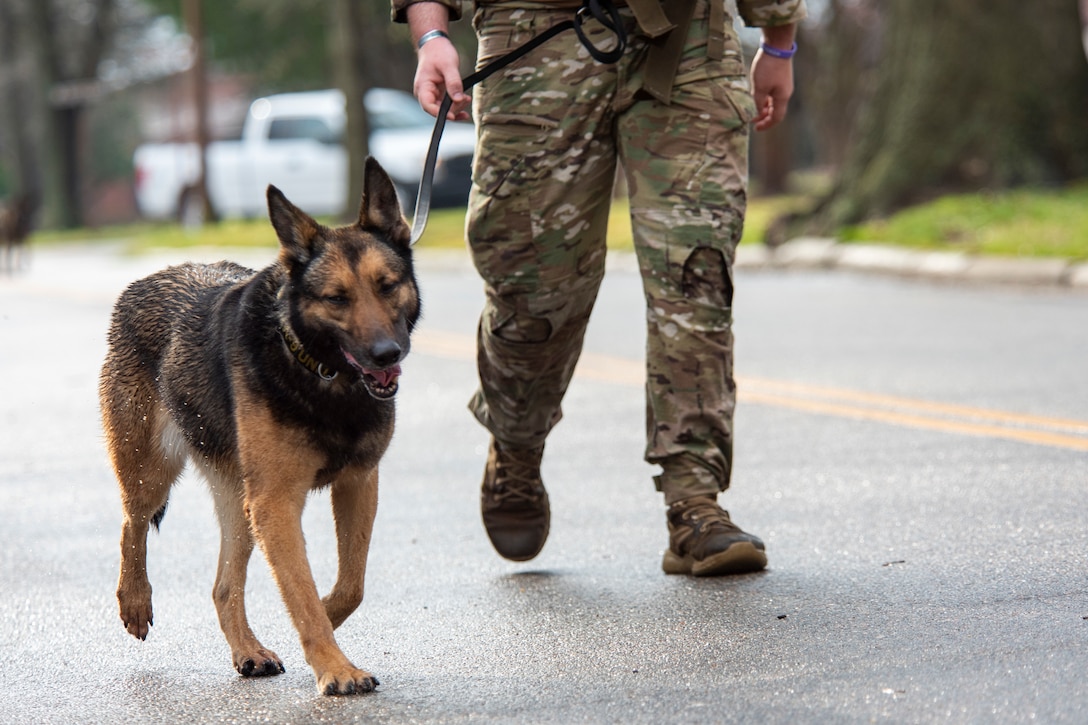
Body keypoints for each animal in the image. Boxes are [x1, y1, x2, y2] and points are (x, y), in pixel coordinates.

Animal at [100, 160, 419, 696]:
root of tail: (151, 277)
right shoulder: (277, 502)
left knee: (224, 586)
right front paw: (335, 667)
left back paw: (248, 651)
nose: (386, 355)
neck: (317, 370)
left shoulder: (356, 485)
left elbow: (347, 586)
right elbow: (303, 591)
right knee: (131, 523)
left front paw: (326, 627)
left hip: (239, 505)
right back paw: (135, 601)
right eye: (336, 298)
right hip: (153, 472)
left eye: (388, 285)